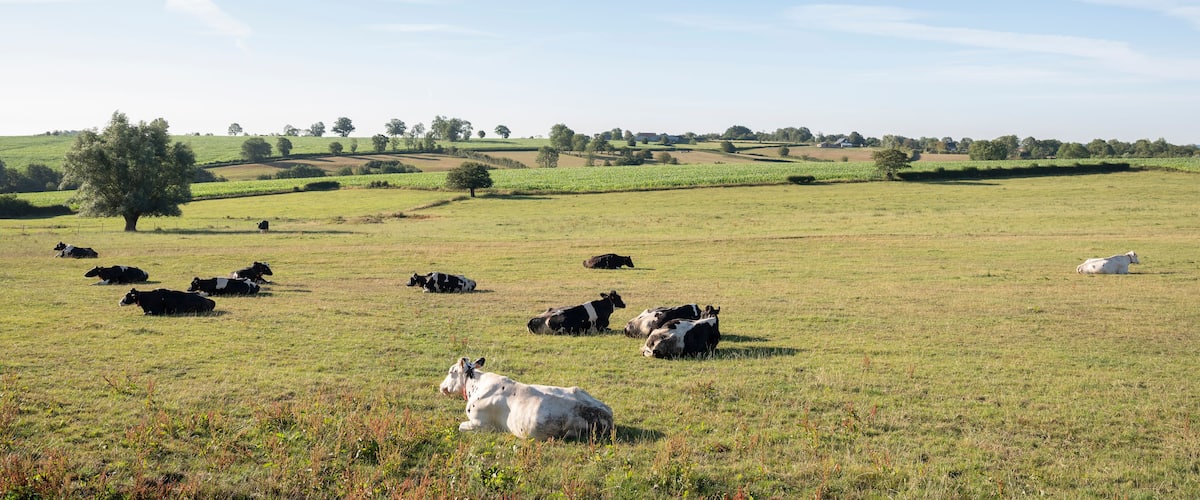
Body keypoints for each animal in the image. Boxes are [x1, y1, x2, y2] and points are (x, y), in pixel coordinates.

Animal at [438, 357, 613, 441]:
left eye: (451, 371)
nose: (441, 387)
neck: (476, 385)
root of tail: (606, 414)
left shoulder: (482, 425)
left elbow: (460, 426)